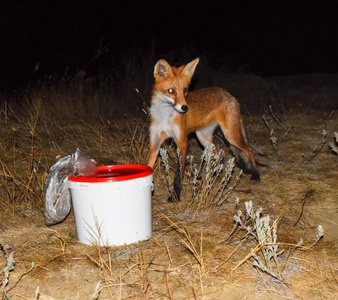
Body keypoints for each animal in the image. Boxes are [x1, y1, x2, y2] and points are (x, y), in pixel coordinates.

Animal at [147, 57, 260, 202]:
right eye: (171, 91)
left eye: (185, 90)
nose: (184, 108)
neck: (165, 116)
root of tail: (229, 94)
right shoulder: (155, 143)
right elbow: (148, 165)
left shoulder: (182, 142)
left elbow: (178, 175)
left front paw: (175, 196)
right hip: (203, 137)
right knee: (219, 156)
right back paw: (207, 174)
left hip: (231, 135)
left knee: (249, 150)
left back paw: (255, 174)